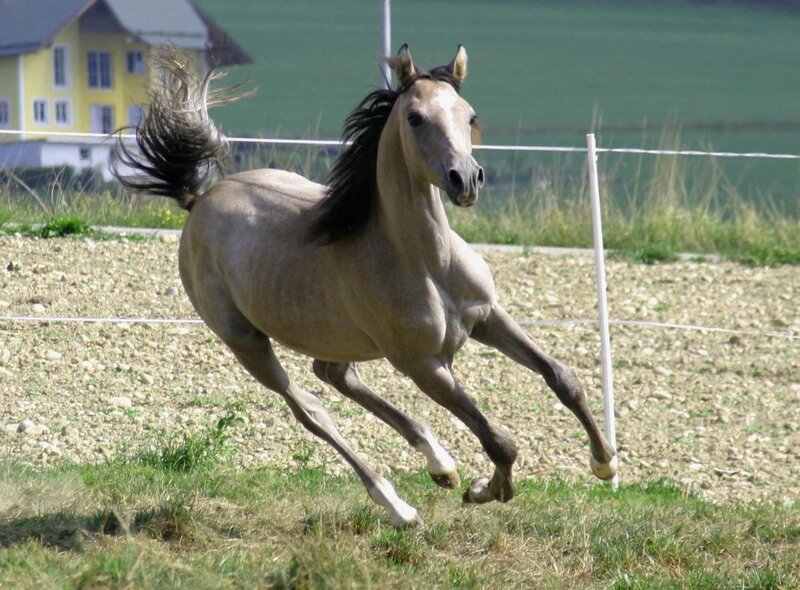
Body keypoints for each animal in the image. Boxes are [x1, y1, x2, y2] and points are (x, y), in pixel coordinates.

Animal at [114, 45, 617, 527]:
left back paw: (440, 465)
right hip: (246, 342)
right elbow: (498, 439)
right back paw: (399, 508)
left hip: (335, 337)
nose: (466, 179)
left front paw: (605, 463)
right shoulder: (422, 365)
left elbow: (563, 378)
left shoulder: (488, 317)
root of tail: (199, 200)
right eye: (415, 118)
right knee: (311, 409)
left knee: (334, 375)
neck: (427, 263)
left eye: (469, 114)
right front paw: (486, 491)